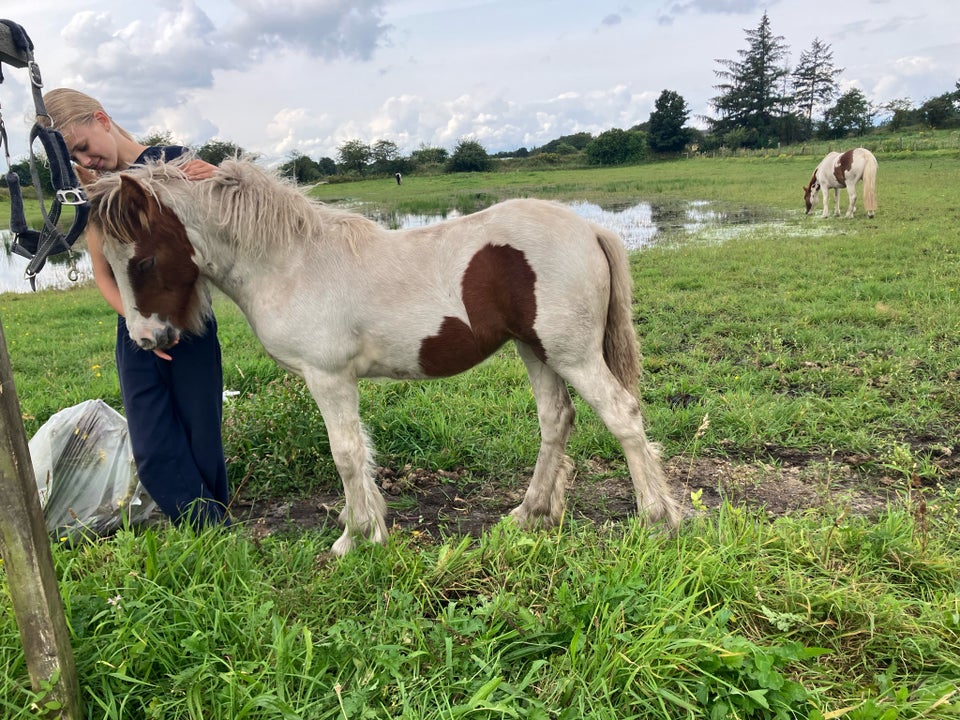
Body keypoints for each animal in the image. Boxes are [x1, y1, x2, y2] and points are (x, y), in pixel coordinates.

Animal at [86, 158, 680, 556]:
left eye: (143, 260)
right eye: (108, 263)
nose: (147, 340)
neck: (290, 263)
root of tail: (591, 227)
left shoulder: (328, 378)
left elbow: (346, 454)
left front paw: (354, 538)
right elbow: (357, 454)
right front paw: (368, 527)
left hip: (571, 353)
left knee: (622, 416)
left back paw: (659, 517)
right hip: (536, 350)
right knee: (556, 421)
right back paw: (530, 514)